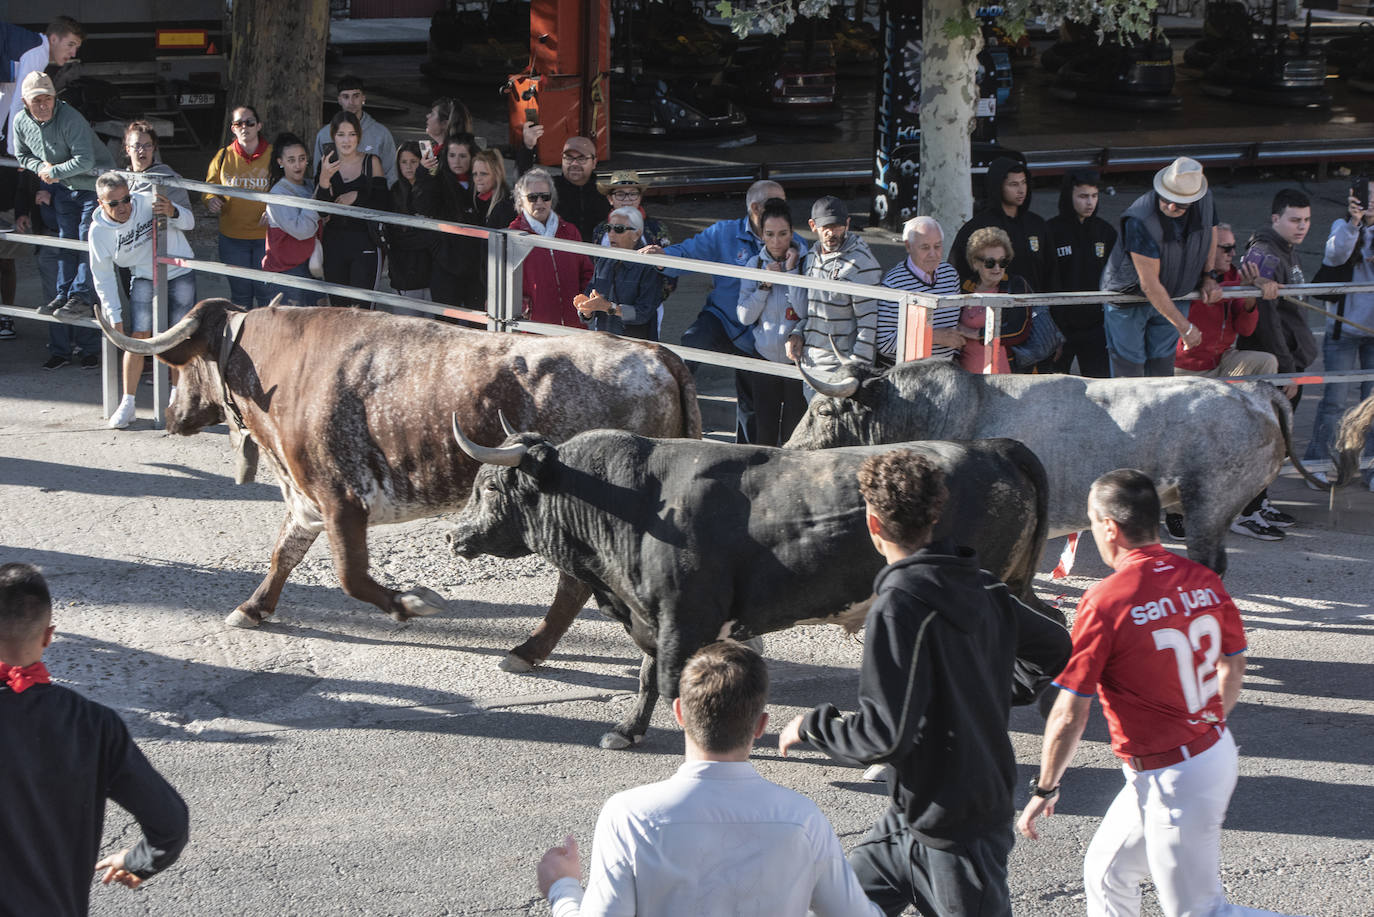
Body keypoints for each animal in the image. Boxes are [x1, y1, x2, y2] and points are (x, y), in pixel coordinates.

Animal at [99, 299, 697, 668]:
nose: (172, 415)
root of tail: (654, 353)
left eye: (179, 367)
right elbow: (283, 555)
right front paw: (253, 607)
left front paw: (412, 602)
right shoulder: (307, 501)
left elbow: (351, 577)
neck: (281, 375)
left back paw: (526, 650)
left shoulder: (341, 499)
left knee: (572, 585)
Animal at [445, 426, 1055, 747]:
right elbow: (645, 678)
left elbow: (670, 681)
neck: (635, 503)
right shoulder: (654, 616)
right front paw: (627, 731)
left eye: (491, 485)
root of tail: (993, 446)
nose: (453, 535)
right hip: (1014, 586)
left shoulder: (683, 615)